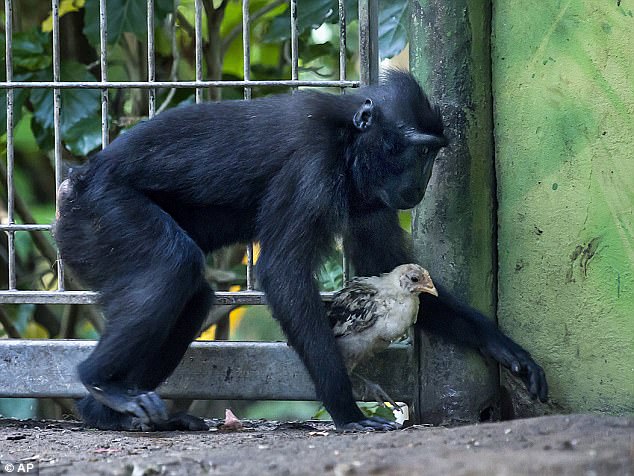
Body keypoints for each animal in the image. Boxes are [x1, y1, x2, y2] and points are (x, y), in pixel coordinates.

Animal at [51, 70, 544, 432]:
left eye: (433, 154)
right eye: (419, 152)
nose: (422, 183)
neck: (347, 137)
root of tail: (75, 182)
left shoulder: (370, 197)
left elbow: (386, 267)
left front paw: (504, 349)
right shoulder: (313, 166)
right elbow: (283, 272)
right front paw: (348, 413)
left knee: (193, 296)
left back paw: (110, 414)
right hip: (101, 214)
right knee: (173, 268)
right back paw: (103, 384)